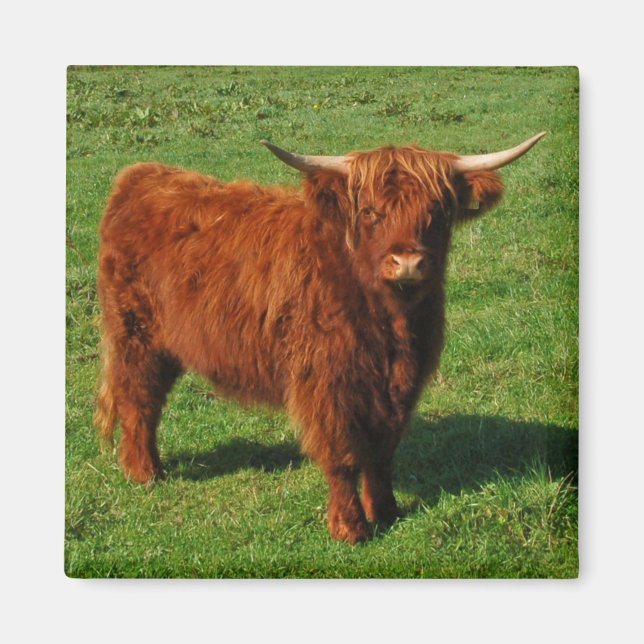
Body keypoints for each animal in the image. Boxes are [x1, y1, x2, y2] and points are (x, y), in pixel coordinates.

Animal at [94, 132, 546, 543]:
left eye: (436, 208)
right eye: (370, 212)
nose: (408, 263)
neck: (389, 325)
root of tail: (141, 176)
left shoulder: (401, 382)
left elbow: (382, 451)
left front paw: (387, 511)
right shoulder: (326, 382)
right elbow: (343, 455)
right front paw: (350, 527)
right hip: (136, 334)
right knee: (138, 399)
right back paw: (145, 472)